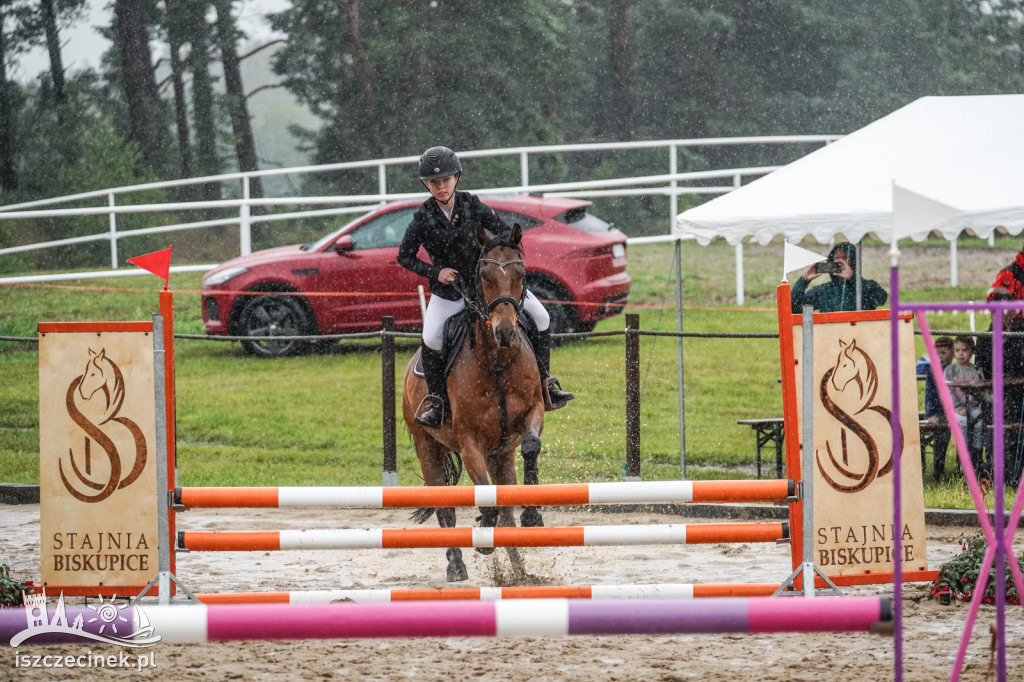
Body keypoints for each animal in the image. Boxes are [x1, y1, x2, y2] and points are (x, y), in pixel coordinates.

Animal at [401, 222, 548, 577]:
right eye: (483, 275)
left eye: (521, 273)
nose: (505, 332)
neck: (496, 362)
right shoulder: (470, 443)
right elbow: (482, 493)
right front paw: (483, 532)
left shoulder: (534, 411)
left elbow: (531, 447)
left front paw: (532, 514)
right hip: (428, 446)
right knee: (446, 510)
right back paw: (456, 564)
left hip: (501, 455)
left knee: (506, 511)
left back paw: (519, 573)